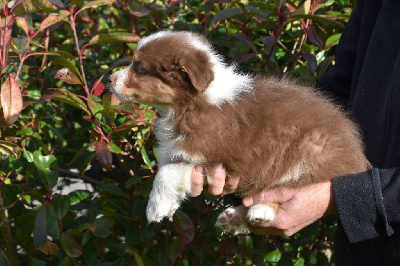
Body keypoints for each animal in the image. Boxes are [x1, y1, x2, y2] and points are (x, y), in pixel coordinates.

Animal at [108, 31, 370, 234]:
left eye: (140, 68)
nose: (109, 79)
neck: (191, 104)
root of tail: (359, 157)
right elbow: (168, 166)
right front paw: (169, 206)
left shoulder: (211, 152)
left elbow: (167, 174)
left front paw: (156, 207)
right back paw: (234, 219)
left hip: (306, 152)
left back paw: (261, 210)